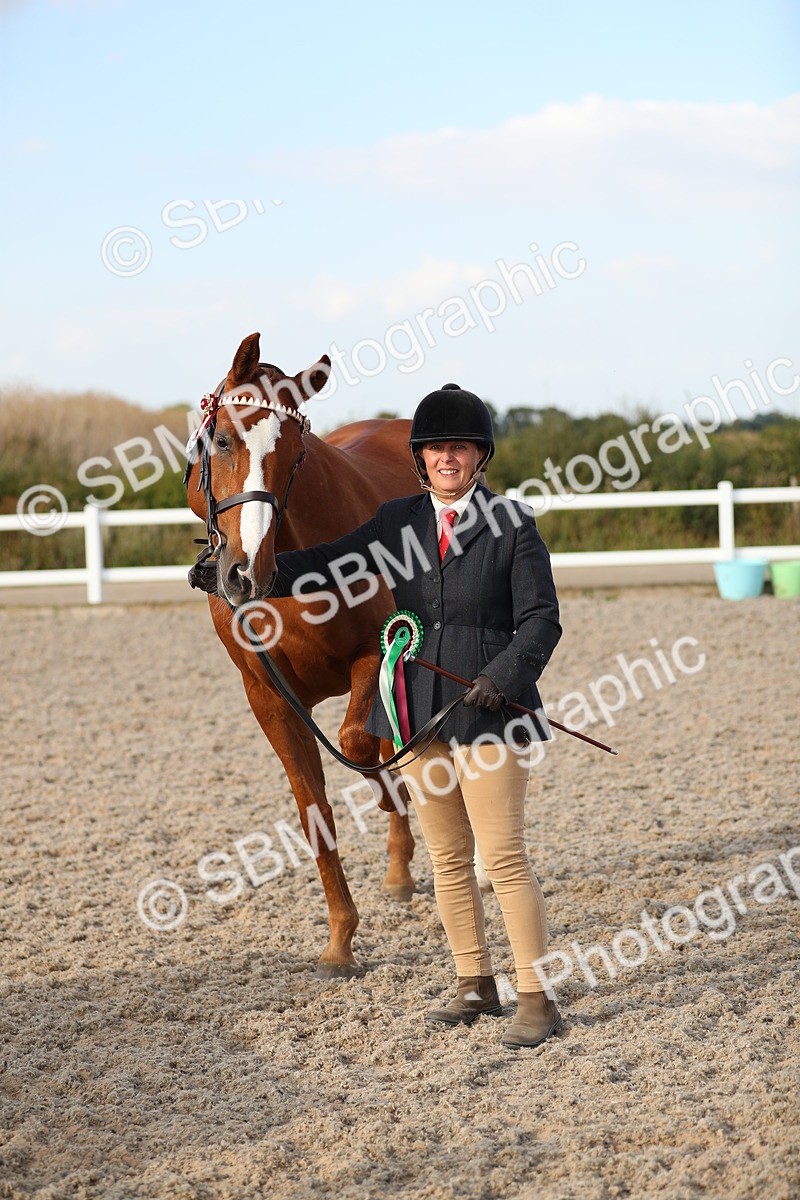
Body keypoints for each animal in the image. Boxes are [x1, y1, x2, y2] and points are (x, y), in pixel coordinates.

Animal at [186, 332, 422, 978]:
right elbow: (314, 811)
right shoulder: (270, 699)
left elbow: (359, 744)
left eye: (296, 454)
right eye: (222, 440)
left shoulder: (374, 654)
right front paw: (341, 940)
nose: (243, 574)